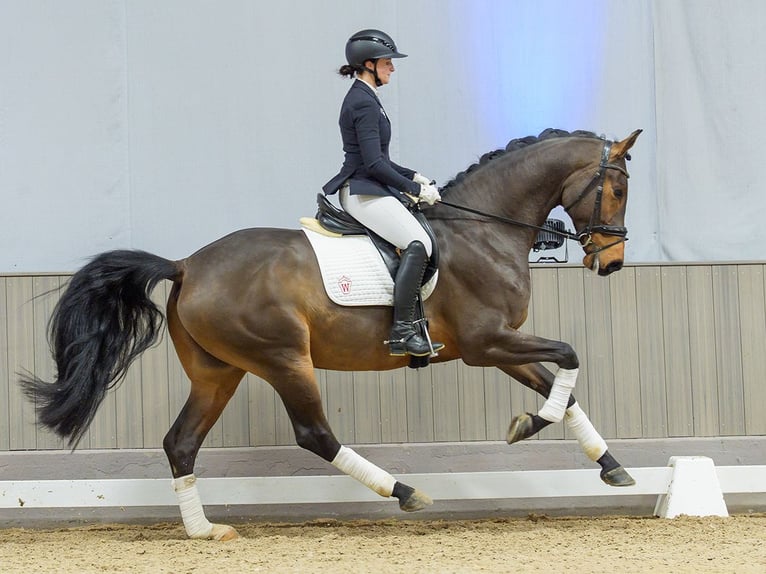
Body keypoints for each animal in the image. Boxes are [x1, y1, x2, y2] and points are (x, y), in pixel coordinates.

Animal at [21, 128, 642, 540]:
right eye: (617, 190)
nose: (611, 263)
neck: (482, 231)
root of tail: (187, 265)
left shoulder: (499, 343)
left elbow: (564, 387)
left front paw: (610, 466)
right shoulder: (484, 343)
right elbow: (570, 356)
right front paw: (529, 425)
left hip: (218, 372)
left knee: (181, 442)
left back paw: (204, 530)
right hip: (282, 358)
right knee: (313, 434)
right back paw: (404, 492)